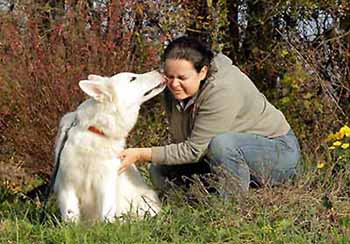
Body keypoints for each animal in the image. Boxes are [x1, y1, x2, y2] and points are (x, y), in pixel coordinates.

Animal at [52, 69, 165, 222]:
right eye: (133, 78)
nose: (160, 70)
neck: (95, 131)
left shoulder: (105, 183)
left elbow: (106, 212)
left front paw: (108, 225)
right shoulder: (67, 185)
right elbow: (70, 216)